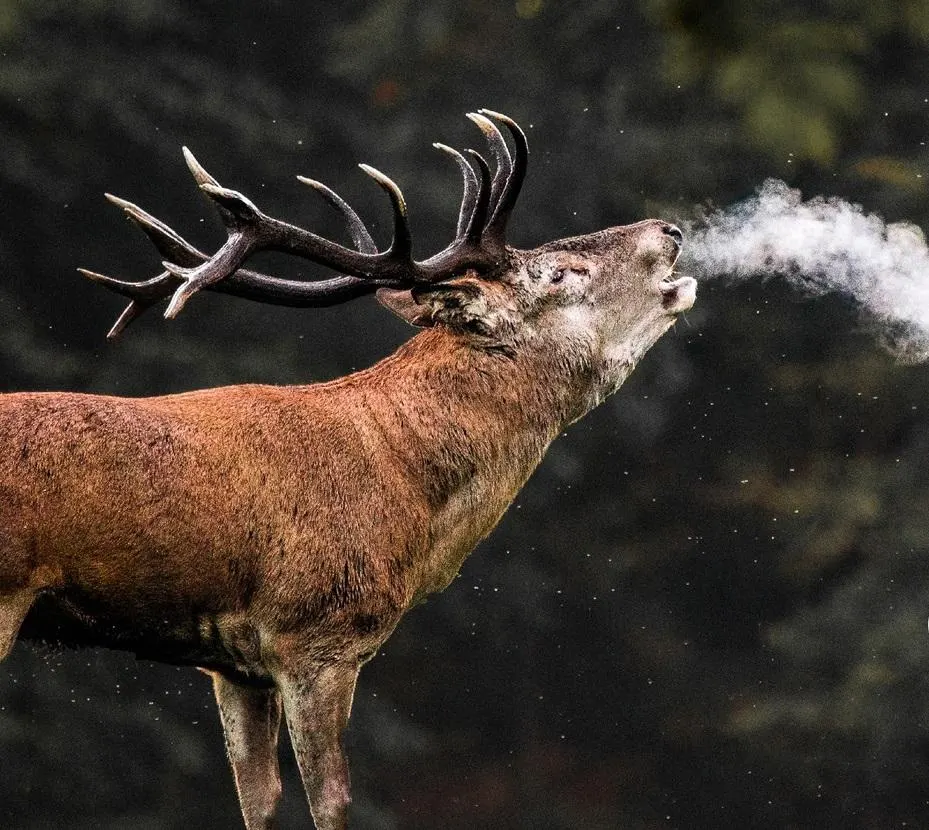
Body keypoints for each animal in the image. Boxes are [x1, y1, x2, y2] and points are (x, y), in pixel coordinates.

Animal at [0, 109, 695, 829]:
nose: (668, 230)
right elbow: (331, 800)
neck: (406, 491)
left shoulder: (234, 665)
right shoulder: (318, 633)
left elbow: (259, 802)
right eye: (561, 272)